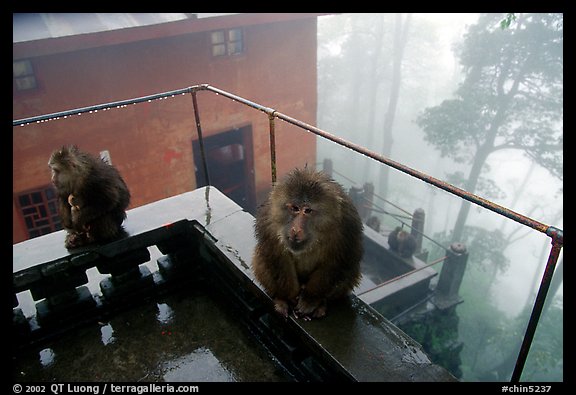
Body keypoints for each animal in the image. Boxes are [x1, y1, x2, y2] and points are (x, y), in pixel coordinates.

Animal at [253, 169, 364, 320]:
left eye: (308, 211)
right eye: (295, 208)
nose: (295, 229)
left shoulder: (347, 226)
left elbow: (336, 263)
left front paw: (310, 300)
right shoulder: (269, 220)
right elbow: (277, 257)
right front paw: (289, 297)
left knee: (350, 270)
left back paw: (322, 303)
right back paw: (280, 298)